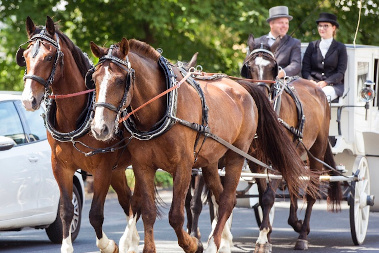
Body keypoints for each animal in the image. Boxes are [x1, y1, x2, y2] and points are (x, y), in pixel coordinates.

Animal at [17, 16, 139, 252]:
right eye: (25, 56)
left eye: (49, 57)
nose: (28, 100)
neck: (75, 118)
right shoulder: (61, 167)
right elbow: (66, 211)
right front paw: (66, 247)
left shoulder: (102, 170)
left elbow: (95, 214)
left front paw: (107, 244)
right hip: (119, 169)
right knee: (128, 200)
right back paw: (132, 240)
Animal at [88, 37, 312, 253]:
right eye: (94, 78)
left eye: (121, 79)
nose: (100, 128)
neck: (162, 109)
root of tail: (244, 87)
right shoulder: (142, 165)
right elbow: (148, 212)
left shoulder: (184, 166)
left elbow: (176, 216)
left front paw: (193, 243)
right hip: (211, 161)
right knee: (221, 198)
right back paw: (223, 241)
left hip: (237, 156)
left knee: (229, 200)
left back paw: (216, 244)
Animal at [243, 34, 344, 251]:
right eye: (249, 66)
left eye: (273, 67)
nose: (261, 95)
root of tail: (315, 87)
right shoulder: (256, 159)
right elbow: (263, 196)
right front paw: (267, 234)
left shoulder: (276, 158)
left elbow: (268, 197)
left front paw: (263, 239)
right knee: (293, 182)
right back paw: (295, 222)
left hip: (317, 150)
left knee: (311, 191)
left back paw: (303, 234)